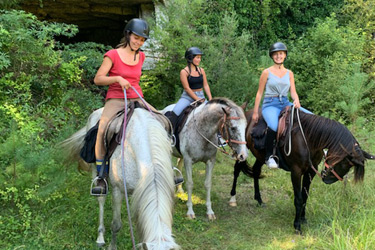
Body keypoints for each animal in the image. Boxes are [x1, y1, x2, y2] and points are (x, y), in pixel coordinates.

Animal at [60, 107, 181, 250]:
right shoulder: (118, 190)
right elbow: (116, 225)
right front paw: (112, 246)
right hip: (97, 173)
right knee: (101, 198)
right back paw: (100, 237)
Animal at [231, 106, 374, 233]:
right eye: (345, 164)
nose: (328, 180)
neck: (309, 138)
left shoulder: (310, 172)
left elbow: (305, 195)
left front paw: (303, 219)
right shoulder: (296, 172)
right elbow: (298, 198)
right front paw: (297, 225)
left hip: (260, 157)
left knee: (255, 171)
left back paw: (259, 200)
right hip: (242, 151)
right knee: (237, 170)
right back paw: (233, 198)